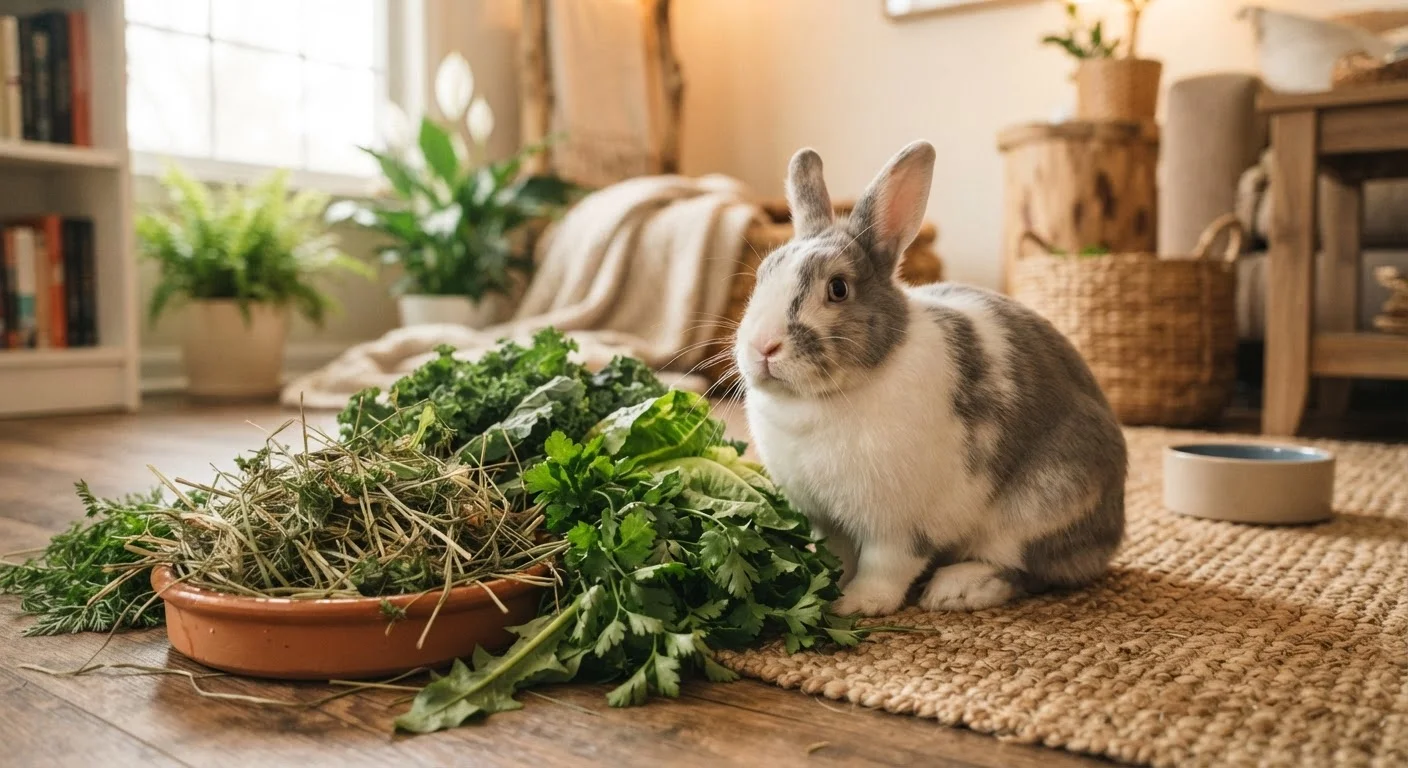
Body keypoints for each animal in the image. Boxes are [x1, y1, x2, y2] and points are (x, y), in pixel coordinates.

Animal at [733, 141, 1127, 616]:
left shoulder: (898, 526)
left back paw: (957, 589)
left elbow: (884, 566)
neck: (825, 398)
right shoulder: (827, 520)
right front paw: (829, 587)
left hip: (1042, 507)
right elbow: (839, 555)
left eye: (838, 289)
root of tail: (1113, 528)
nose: (763, 347)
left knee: (1028, 569)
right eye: (762, 276)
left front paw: (857, 605)